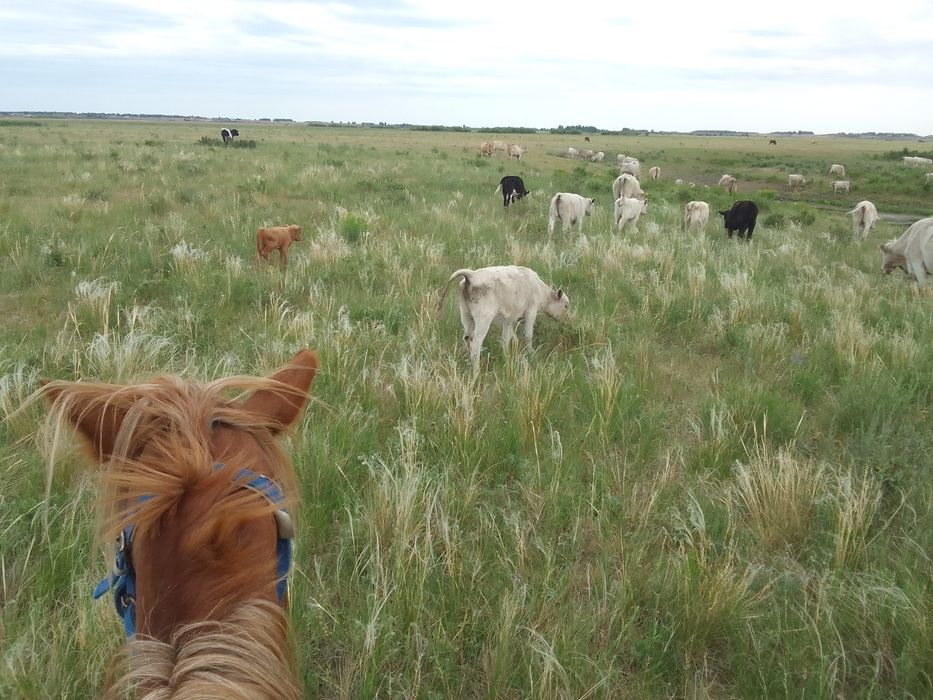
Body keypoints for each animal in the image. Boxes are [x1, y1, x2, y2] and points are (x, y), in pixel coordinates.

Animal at [439, 265, 569, 372]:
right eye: (566, 306)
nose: (567, 322)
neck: (540, 289)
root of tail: (472, 275)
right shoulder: (531, 312)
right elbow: (528, 335)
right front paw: (532, 354)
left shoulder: (509, 320)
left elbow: (507, 339)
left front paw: (507, 356)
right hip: (483, 320)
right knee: (476, 342)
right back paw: (476, 371)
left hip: (466, 315)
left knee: (467, 338)